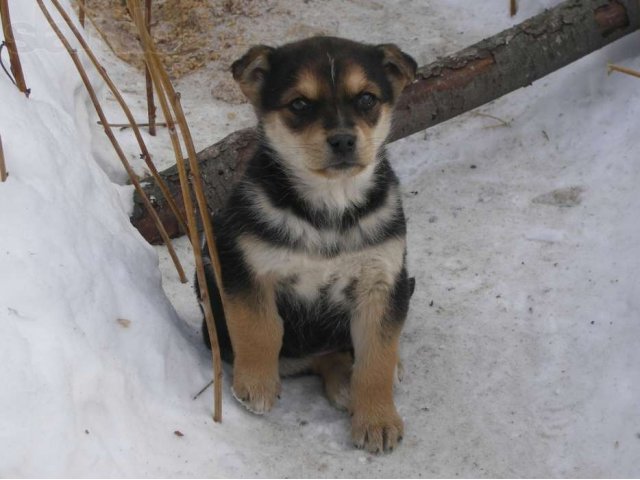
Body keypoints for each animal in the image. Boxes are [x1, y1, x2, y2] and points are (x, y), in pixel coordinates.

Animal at [200, 35, 418, 452]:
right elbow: (259, 326)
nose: (343, 140)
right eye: (299, 104)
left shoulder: (383, 280)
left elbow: (377, 357)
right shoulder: (243, 264)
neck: (330, 208)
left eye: (367, 98)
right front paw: (255, 385)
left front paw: (378, 420)